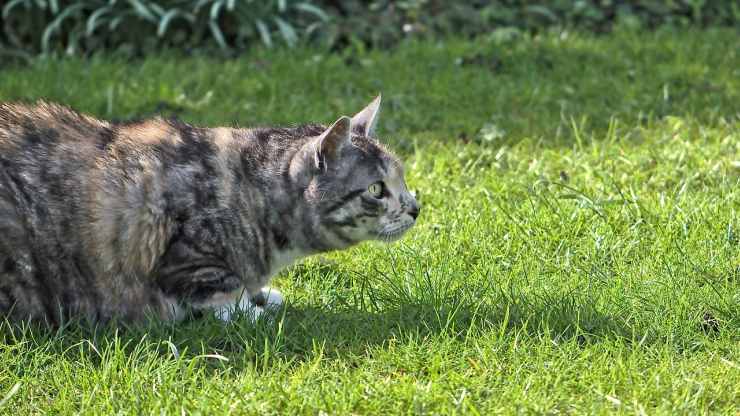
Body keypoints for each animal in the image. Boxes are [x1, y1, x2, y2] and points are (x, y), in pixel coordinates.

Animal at [0, 95, 420, 324]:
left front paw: (261, 297)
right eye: (377, 189)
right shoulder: (186, 260)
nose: (416, 207)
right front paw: (249, 310)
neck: (250, 192)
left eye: (400, 179)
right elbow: (217, 292)